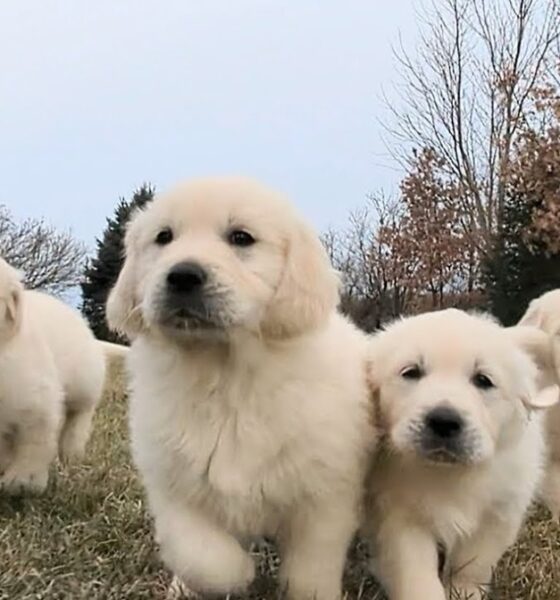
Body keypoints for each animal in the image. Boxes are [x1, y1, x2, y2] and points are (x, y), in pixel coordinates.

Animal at [0, 256, 106, 492]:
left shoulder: (37, 401)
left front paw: (22, 481)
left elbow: (35, 442)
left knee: (81, 411)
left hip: (83, 380)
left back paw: (71, 447)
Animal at [107, 177, 374, 600]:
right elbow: (205, 557)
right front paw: (237, 574)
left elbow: (310, 571)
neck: (226, 374)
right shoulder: (174, 487)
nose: (182, 276)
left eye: (241, 237)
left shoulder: (324, 498)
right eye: (164, 237)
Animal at [366, 310, 556, 600]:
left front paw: (465, 590)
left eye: (483, 380)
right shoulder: (399, 517)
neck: (448, 473)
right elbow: (416, 571)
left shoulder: (498, 512)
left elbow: (474, 563)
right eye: (411, 372)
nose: (444, 421)